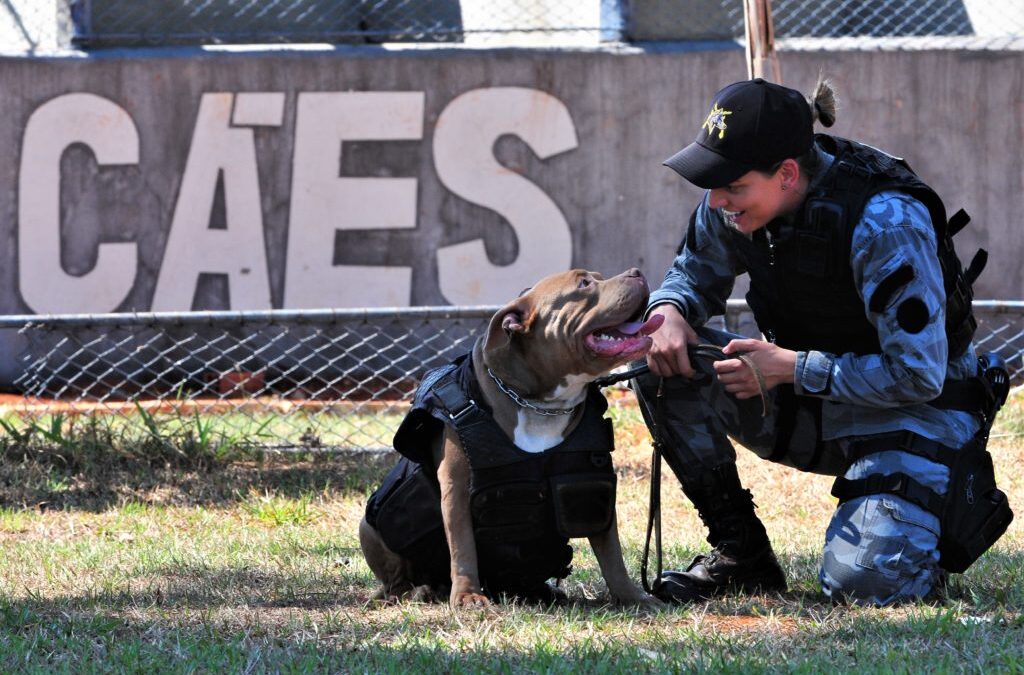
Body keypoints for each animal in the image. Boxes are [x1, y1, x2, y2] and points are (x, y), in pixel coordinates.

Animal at [360, 266, 663, 610]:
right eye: (585, 283)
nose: (636, 271)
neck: (540, 404)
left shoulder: (594, 485)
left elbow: (611, 552)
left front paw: (632, 596)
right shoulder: (456, 485)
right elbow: (462, 545)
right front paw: (468, 596)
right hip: (369, 528)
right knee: (395, 581)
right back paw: (419, 590)